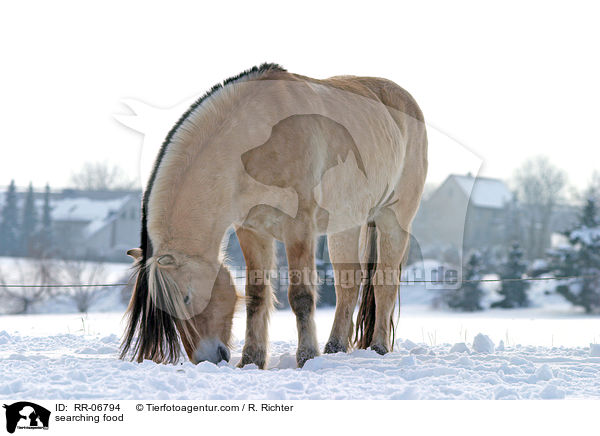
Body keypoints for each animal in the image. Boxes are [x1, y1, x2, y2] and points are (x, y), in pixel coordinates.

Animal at [119, 62, 424, 368]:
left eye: (185, 297)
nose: (207, 359)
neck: (256, 139)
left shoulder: (299, 228)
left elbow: (301, 295)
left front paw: (306, 357)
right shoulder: (252, 230)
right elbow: (257, 294)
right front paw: (251, 360)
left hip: (393, 220)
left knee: (384, 282)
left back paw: (378, 347)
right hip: (345, 226)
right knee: (349, 284)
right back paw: (334, 348)